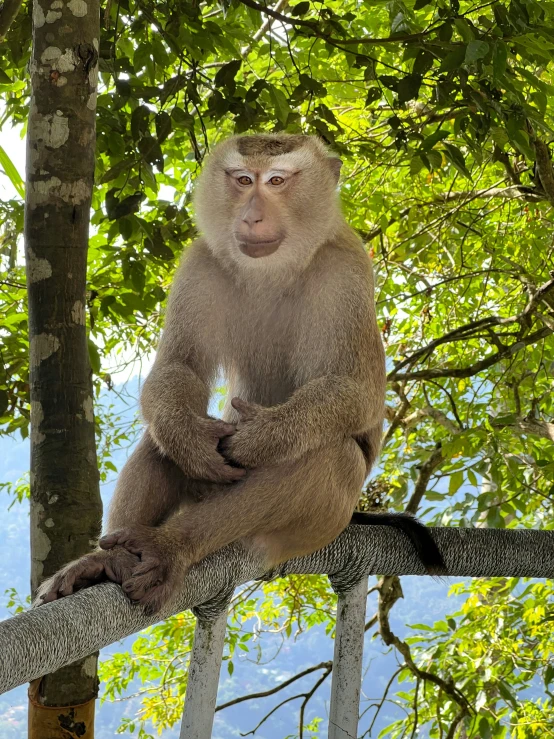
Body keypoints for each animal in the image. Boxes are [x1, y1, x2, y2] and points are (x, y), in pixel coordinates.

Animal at [36, 136, 442, 616]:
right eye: (244, 179)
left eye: (277, 181)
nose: (251, 216)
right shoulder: (199, 263)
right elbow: (181, 367)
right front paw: (187, 435)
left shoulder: (346, 272)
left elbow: (354, 390)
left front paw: (263, 437)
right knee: (164, 434)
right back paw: (106, 559)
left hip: (319, 523)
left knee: (330, 454)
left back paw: (171, 546)